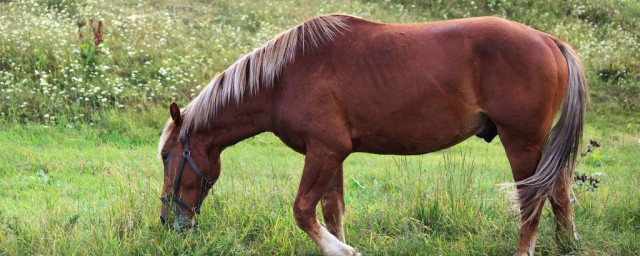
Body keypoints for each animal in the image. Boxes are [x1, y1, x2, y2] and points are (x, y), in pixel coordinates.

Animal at [158, 14, 588, 256]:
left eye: (165, 157)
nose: (167, 221)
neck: (283, 79)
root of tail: (550, 41)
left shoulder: (323, 152)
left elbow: (303, 211)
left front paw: (342, 250)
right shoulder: (331, 155)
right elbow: (331, 211)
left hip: (521, 142)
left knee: (533, 202)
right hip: (538, 145)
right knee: (559, 192)